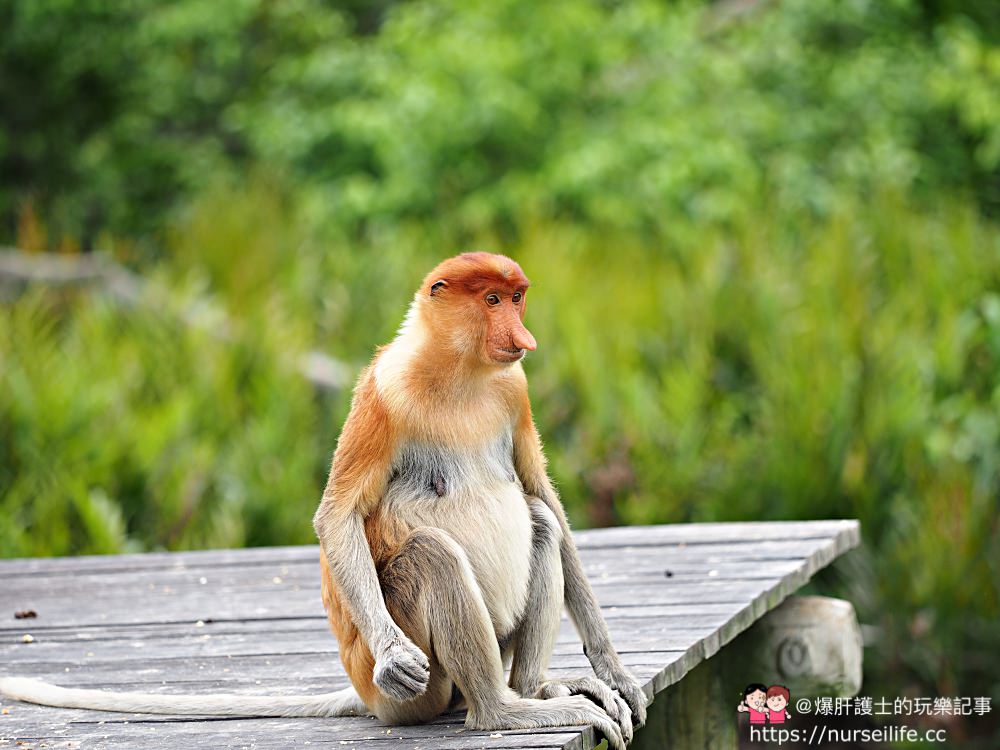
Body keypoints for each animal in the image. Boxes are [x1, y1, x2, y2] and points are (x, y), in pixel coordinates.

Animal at [0, 254, 648, 750]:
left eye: (517, 299)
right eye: (491, 300)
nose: (523, 339)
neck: (459, 370)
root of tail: (365, 695)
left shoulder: (515, 391)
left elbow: (543, 497)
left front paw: (614, 670)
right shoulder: (382, 394)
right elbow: (338, 514)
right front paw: (394, 656)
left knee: (538, 523)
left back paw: (536, 689)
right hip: (413, 688)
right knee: (433, 555)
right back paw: (502, 710)